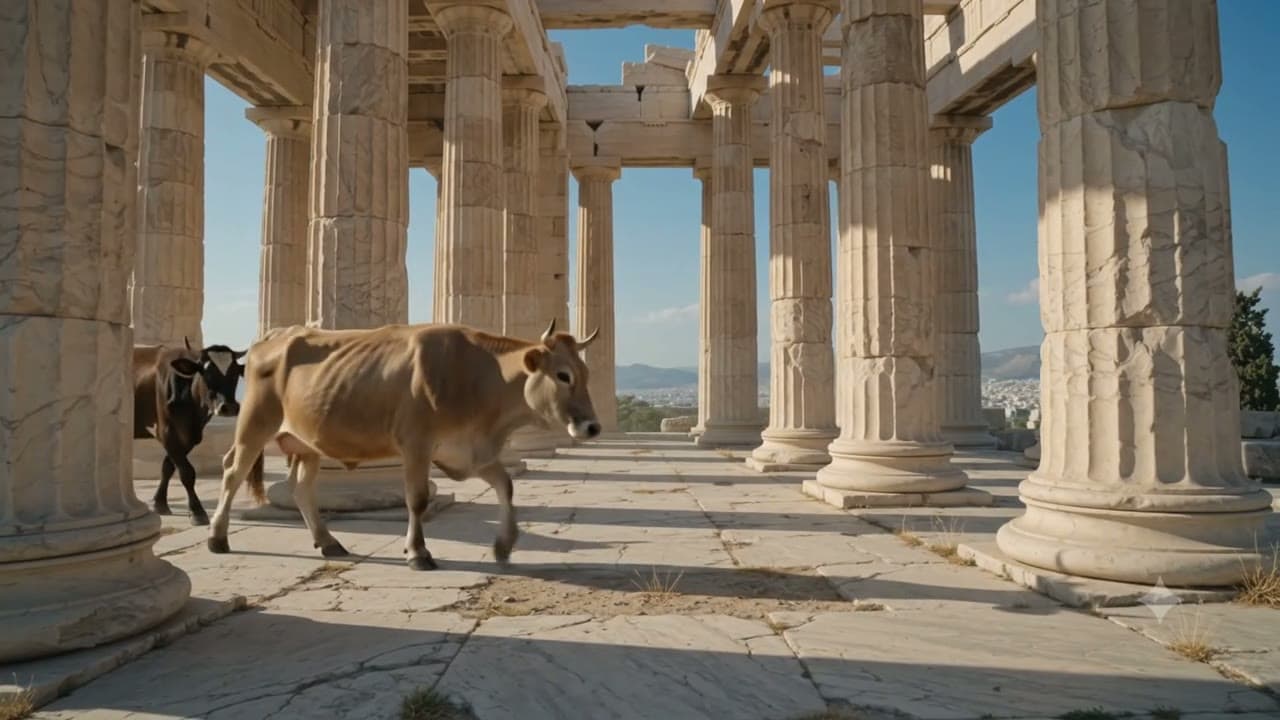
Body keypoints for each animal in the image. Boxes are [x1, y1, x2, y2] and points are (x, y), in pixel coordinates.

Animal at [133, 338, 247, 525]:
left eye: (235, 373)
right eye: (207, 373)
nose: (229, 407)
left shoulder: (190, 436)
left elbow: (168, 467)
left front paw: (160, 503)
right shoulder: (166, 432)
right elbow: (187, 472)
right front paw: (197, 511)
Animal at [206, 318, 602, 570]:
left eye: (586, 374)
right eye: (563, 375)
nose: (593, 426)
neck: (479, 375)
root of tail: (276, 334)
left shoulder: (470, 451)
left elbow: (506, 486)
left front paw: (504, 544)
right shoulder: (416, 445)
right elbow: (417, 499)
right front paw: (418, 552)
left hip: (308, 443)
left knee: (301, 488)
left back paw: (328, 541)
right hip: (255, 424)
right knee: (233, 472)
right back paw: (217, 537)